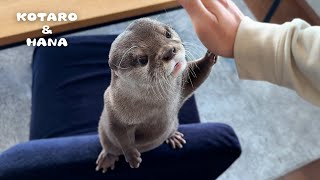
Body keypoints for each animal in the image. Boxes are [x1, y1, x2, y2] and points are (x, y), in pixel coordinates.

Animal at [95, 17, 218, 172]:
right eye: (142, 59)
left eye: (167, 34)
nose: (169, 51)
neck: (156, 104)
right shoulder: (113, 109)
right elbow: (121, 136)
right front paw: (132, 157)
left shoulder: (182, 84)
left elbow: (197, 74)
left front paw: (210, 54)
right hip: (103, 134)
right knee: (108, 147)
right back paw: (107, 158)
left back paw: (173, 136)